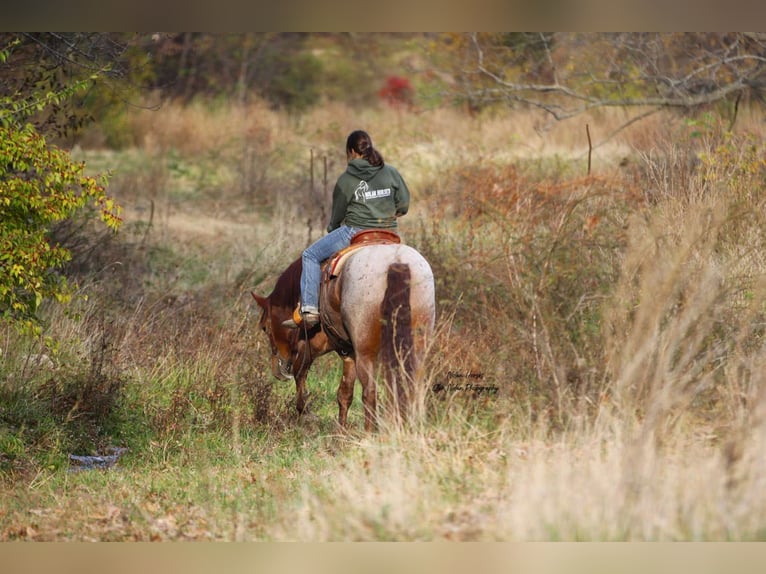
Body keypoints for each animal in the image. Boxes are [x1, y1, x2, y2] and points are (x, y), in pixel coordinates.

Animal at [250, 238, 436, 432]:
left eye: (264, 327)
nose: (277, 371)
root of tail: (396, 261)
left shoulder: (308, 347)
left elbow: (300, 375)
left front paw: (305, 413)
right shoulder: (348, 353)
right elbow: (344, 393)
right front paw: (341, 431)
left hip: (365, 353)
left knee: (370, 392)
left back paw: (369, 433)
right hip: (416, 347)